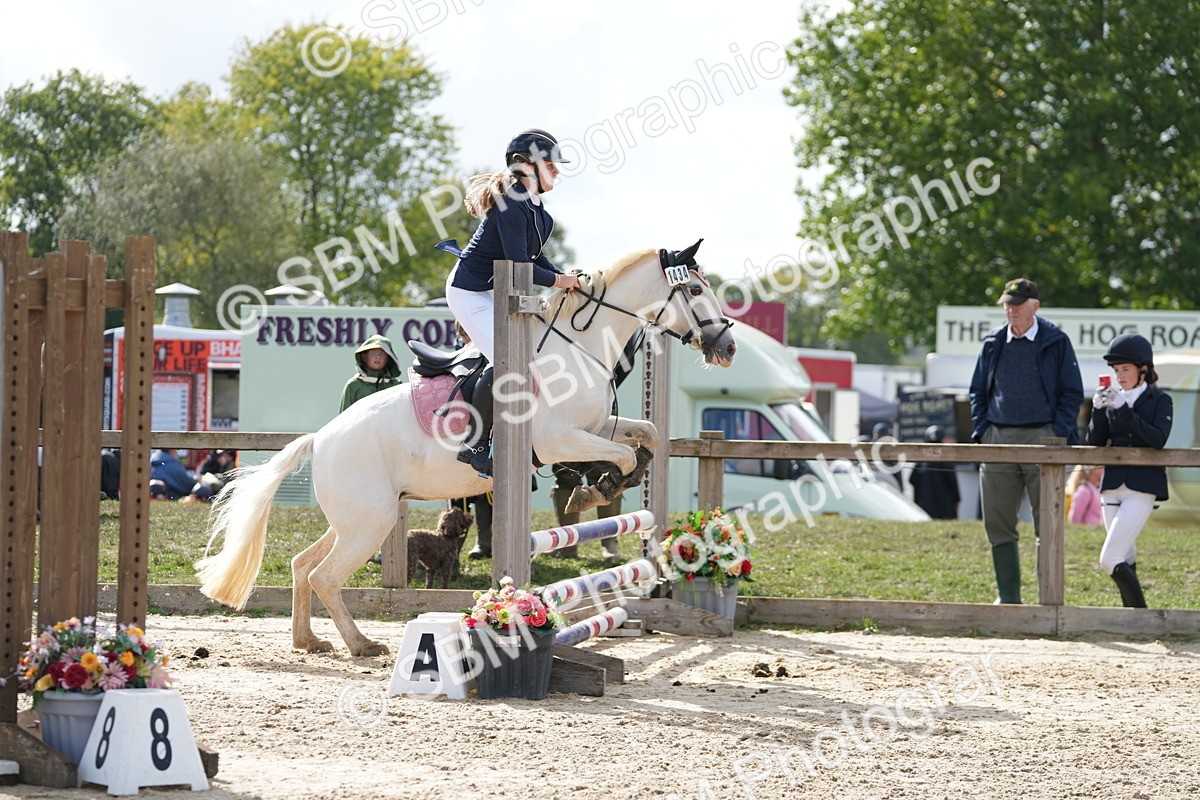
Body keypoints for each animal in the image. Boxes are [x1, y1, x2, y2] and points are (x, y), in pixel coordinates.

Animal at [195, 241, 738, 656]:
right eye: (694, 290)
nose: (727, 348)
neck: (579, 348)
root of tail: (321, 438)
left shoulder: (597, 425)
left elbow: (646, 434)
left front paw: (624, 476)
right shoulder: (558, 440)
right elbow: (619, 457)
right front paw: (596, 490)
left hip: (355, 520)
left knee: (303, 565)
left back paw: (308, 641)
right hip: (369, 524)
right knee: (326, 576)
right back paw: (361, 645)